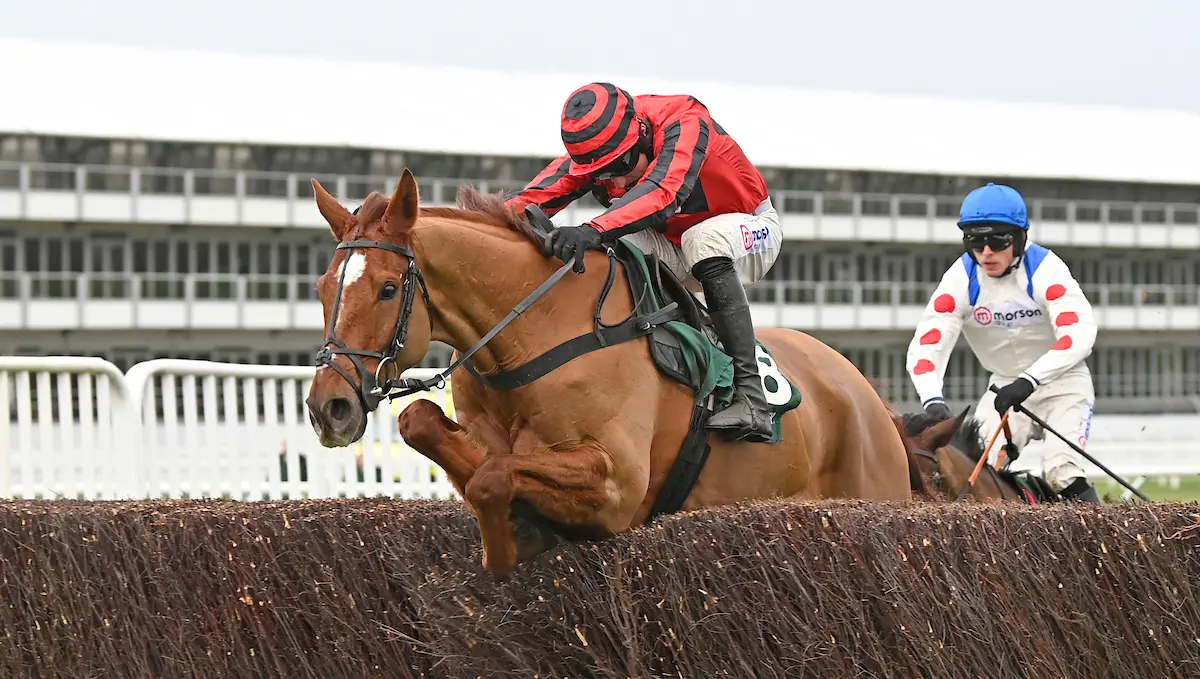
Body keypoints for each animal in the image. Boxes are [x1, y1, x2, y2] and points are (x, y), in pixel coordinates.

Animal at [304, 169, 928, 577]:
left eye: (388, 289)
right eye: (323, 287)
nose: (329, 407)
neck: (535, 331)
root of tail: (867, 394)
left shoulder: (616, 486)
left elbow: (492, 477)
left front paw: (512, 542)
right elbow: (423, 423)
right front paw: (516, 535)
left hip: (873, 492)